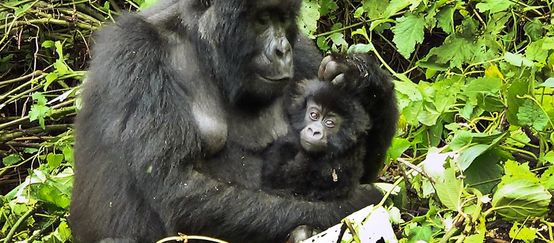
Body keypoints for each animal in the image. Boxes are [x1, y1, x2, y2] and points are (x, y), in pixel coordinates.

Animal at [70, 0, 396, 243]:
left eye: (282, 19)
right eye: (262, 20)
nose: (282, 50)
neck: (200, 41)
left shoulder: (302, 49)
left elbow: (358, 166)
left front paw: (361, 76)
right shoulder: (134, 49)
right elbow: (176, 185)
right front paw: (360, 202)